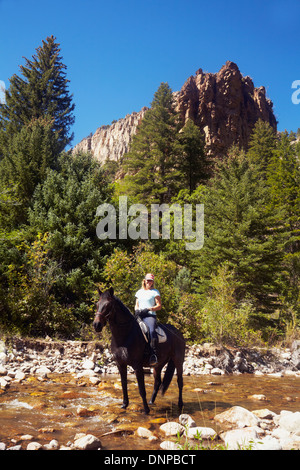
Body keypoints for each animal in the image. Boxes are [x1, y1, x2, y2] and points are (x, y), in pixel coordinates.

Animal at [92, 286, 185, 414]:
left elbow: (141, 389)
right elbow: (124, 384)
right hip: (158, 364)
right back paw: (151, 402)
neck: (125, 335)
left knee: (180, 382)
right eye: (97, 304)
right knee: (157, 382)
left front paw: (146, 410)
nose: (96, 325)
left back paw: (180, 404)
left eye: (108, 305)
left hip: (178, 361)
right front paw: (124, 405)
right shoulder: (120, 364)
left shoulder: (137, 366)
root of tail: (178, 333)